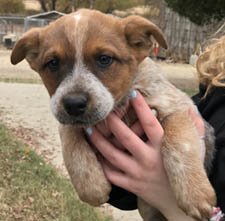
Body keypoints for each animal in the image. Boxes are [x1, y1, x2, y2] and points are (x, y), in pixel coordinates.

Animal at [11, 9, 216, 221]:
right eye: (52, 63)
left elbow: (177, 143)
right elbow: (70, 143)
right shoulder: (64, 116)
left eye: (104, 59)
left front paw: (195, 193)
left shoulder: (178, 105)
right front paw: (91, 187)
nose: (74, 104)